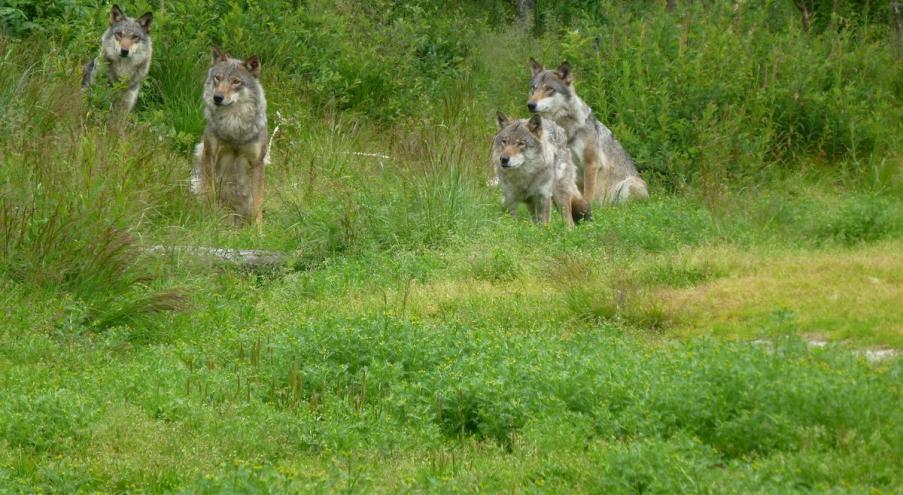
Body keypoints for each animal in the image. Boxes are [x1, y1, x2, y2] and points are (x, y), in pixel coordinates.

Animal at [192, 47, 270, 226]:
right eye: (218, 78)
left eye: (236, 82)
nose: (217, 97)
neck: (233, 125)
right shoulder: (210, 155)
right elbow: (210, 192)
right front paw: (209, 219)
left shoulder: (258, 162)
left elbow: (257, 201)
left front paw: (258, 229)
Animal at [528, 59, 648, 208]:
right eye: (533, 88)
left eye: (549, 89)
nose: (530, 104)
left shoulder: (591, 163)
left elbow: (589, 193)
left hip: (629, 185)